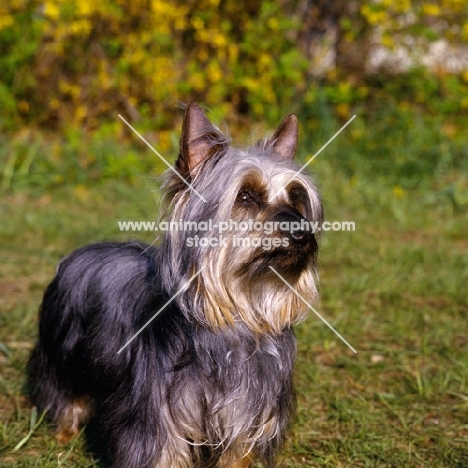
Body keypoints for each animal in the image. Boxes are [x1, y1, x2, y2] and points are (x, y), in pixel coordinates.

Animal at [28, 104, 322, 466]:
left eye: (296, 197)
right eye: (246, 195)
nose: (302, 231)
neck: (236, 315)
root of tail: (80, 253)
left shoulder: (247, 413)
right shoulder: (155, 416)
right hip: (62, 347)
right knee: (64, 390)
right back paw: (65, 431)